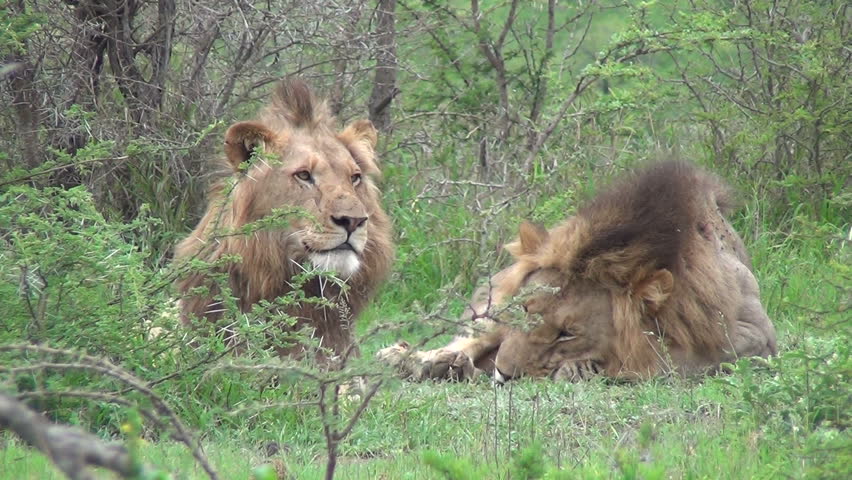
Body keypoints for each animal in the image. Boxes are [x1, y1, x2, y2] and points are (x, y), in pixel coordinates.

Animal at [378, 161, 776, 381]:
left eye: (567, 334)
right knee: (465, 342)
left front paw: (580, 369)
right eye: (520, 317)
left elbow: (672, 360)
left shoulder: (759, 335)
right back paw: (419, 361)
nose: (503, 374)